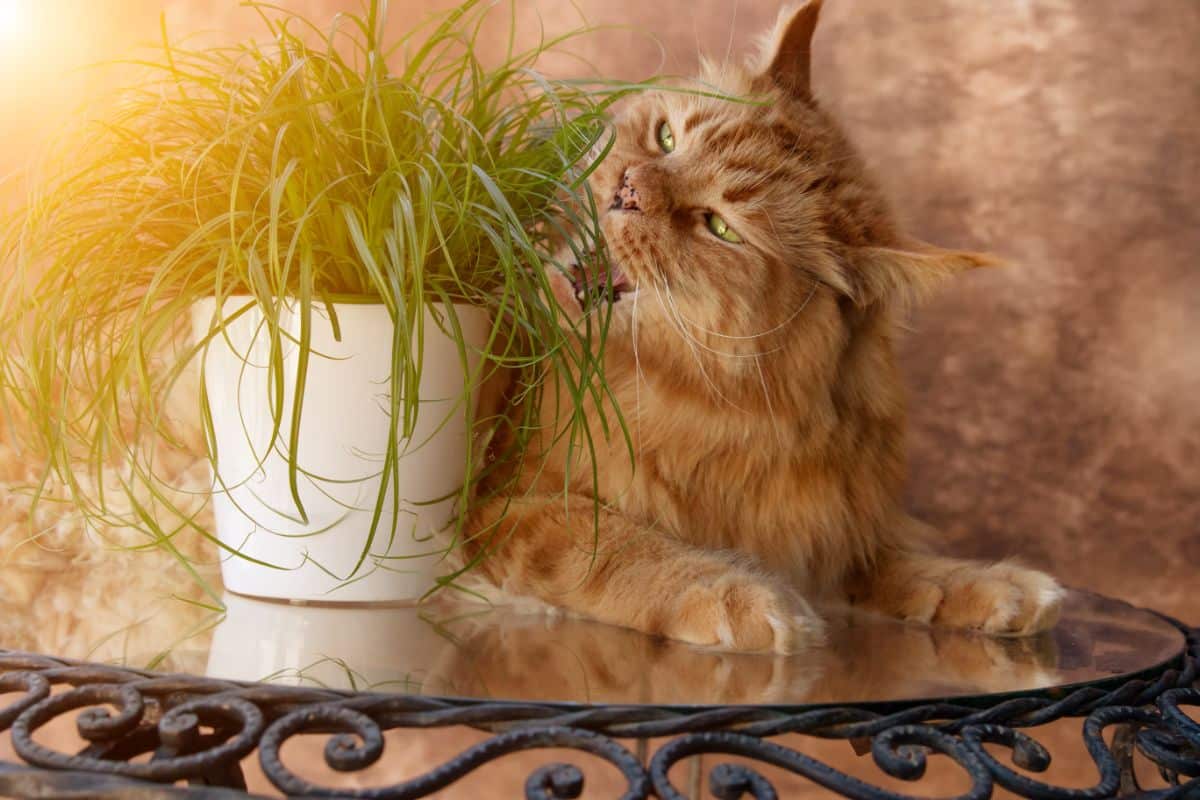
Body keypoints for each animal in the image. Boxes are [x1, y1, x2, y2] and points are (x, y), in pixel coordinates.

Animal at [463, 0, 1065, 652]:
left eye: (719, 227)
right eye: (667, 137)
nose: (627, 190)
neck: (723, 422)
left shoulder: (831, 527)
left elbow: (893, 564)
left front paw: (990, 586)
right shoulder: (506, 502)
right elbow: (627, 548)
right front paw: (736, 595)